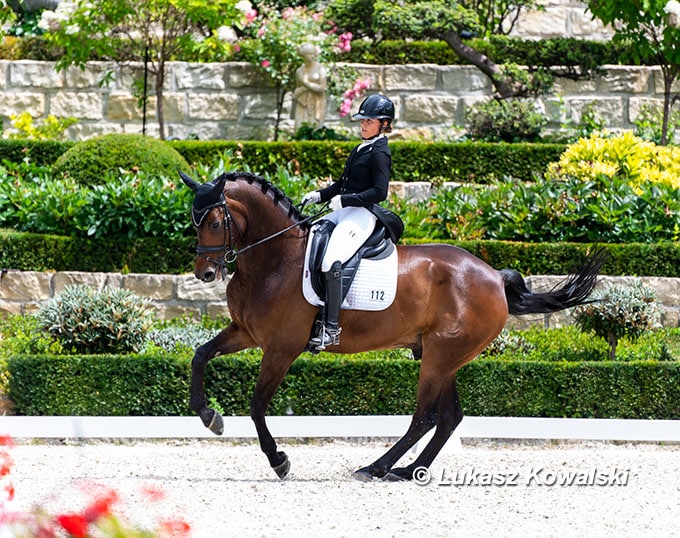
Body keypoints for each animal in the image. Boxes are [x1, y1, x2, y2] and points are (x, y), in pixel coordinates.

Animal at [179, 170, 600, 480]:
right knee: (449, 418)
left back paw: (377, 467)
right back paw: (409, 470)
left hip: (440, 357)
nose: (205, 274)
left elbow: (256, 405)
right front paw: (208, 416)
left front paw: (278, 460)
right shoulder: (246, 332)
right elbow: (200, 356)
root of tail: (495, 276)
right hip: (440, 355)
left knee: (426, 417)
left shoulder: (281, 348)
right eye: (194, 222)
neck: (275, 258)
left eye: (214, 221)